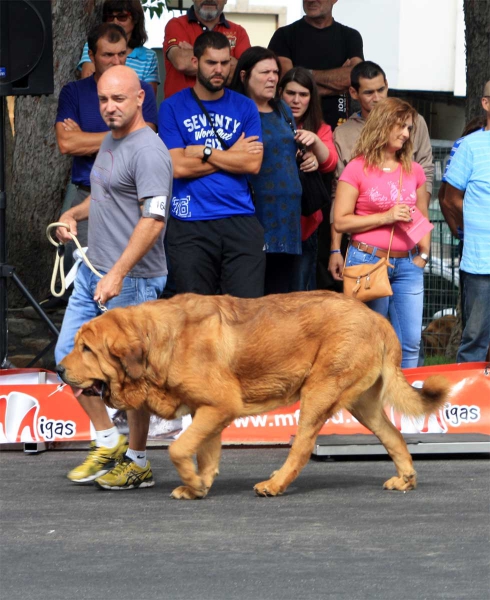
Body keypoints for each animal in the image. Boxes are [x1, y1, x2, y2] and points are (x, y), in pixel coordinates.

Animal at [58, 292, 452, 500]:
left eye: (87, 349)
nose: (59, 369)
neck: (156, 340)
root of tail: (377, 319)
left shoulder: (221, 405)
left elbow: (179, 448)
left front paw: (192, 481)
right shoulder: (208, 411)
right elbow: (204, 453)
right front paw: (199, 486)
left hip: (319, 393)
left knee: (302, 448)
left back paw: (275, 484)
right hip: (362, 404)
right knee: (394, 436)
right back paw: (405, 479)